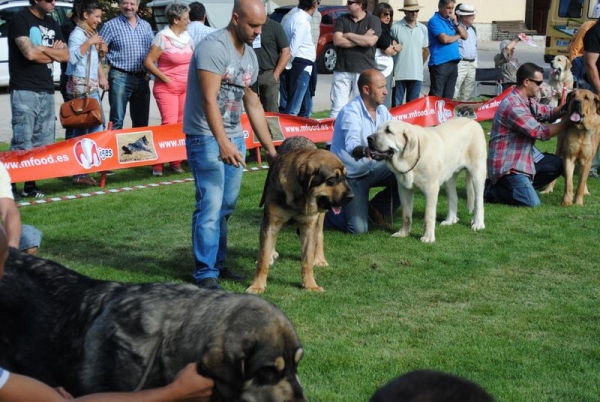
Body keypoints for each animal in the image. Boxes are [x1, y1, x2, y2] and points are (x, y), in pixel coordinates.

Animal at [246, 137, 354, 294]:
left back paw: (319, 259)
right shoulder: (270, 224)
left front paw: (310, 285)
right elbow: (263, 259)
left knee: (319, 235)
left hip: (320, 218)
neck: (300, 196)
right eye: (332, 179)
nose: (352, 197)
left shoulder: (308, 228)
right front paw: (257, 285)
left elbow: (307, 261)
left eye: (345, 177)